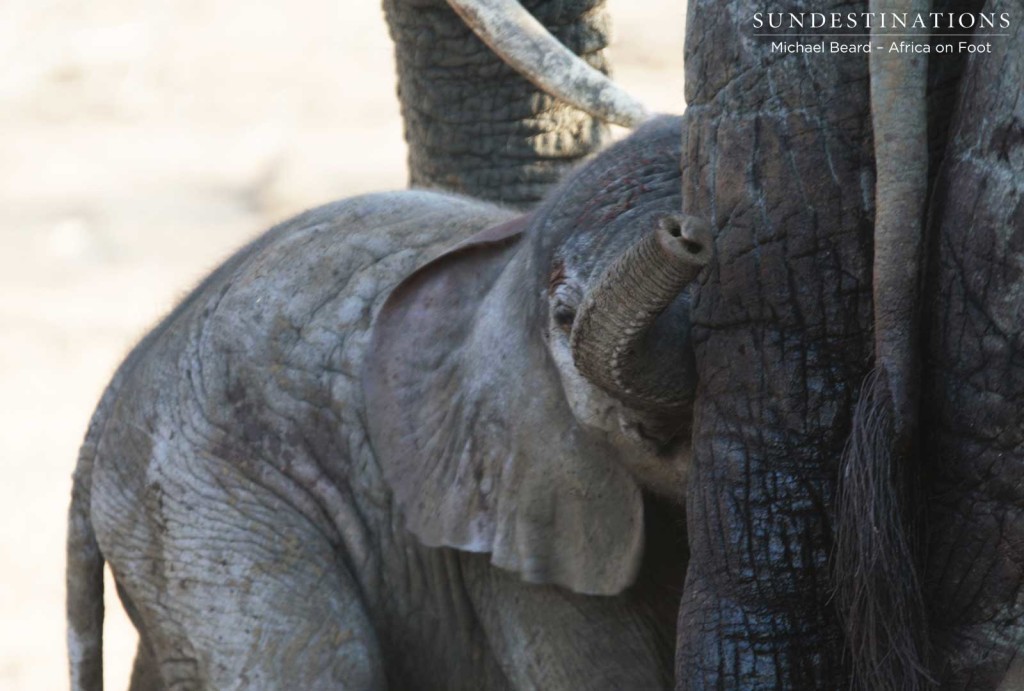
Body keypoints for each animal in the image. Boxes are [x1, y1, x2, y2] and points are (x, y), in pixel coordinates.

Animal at [68, 116, 712, 687]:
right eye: (564, 316)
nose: (686, 233)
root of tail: (124, 375)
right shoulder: (514, 516)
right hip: (198, 494)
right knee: (318, 659)